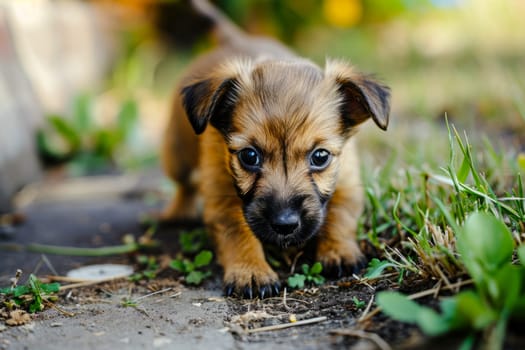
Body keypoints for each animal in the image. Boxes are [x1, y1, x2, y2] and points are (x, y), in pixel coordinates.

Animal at [162, 0, 390, 298]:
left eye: (320, 157)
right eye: (249, 156)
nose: (285, 225)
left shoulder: (348, 182)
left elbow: (340, 216)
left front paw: (339, 250)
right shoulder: (222, 198)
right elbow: (239, 232)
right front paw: (251, 271)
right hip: (176, 154)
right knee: (184, 185)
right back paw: (178, 211)